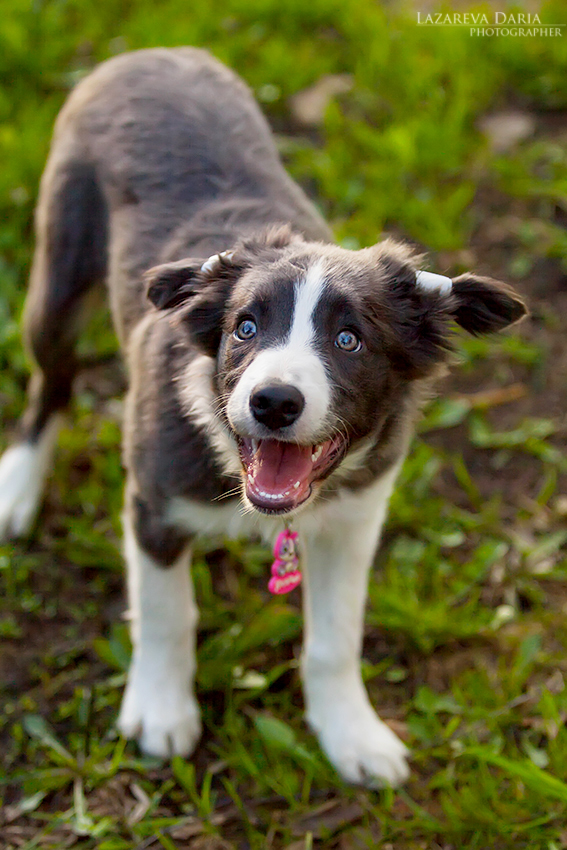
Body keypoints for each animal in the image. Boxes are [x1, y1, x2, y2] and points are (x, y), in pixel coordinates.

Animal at [0, 49, 528, 784]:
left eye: (349, 340)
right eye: (244, 328)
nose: (273, 401)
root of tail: (153, 51)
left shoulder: (356, 518)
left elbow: (335, 638)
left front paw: (350, 734)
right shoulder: (153, 501)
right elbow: (166, 612)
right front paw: (160, 713)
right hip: (59, 270)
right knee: (50, 385)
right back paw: (17, 488)